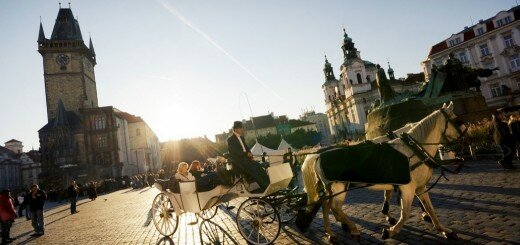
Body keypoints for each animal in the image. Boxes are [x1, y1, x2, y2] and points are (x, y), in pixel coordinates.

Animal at [300, 102, 468, 242]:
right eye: (458, 121)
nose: (466, 140)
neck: (413, 150)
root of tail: (318, 155)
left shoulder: (420, 187)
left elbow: (430, 209)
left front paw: (444, 230)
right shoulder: (407, 188)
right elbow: (405, 213)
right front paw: (390, 231)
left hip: (332, 189)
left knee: (326, 206)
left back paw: (331, 233)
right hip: (339, 187)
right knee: (335, 207)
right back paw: (352, 228)